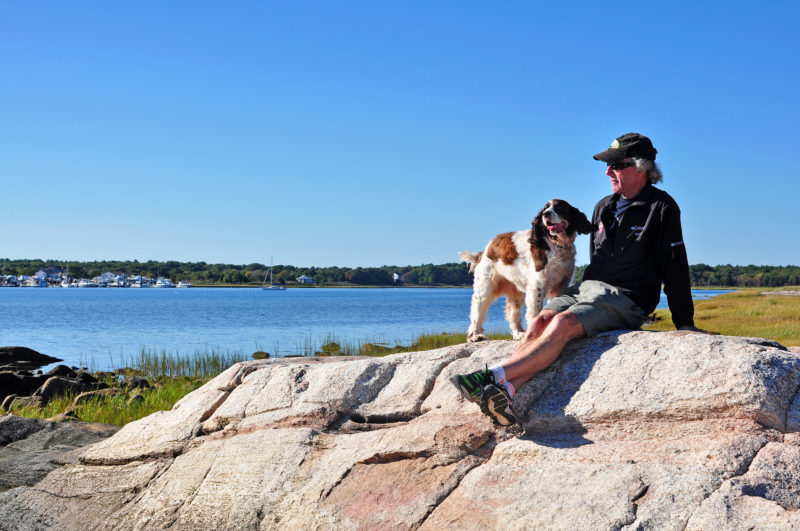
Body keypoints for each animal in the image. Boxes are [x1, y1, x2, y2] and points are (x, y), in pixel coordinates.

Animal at [456, 197, 592, 342]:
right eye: (545, 208)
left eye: (559, 207)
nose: (546, 214)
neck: (556, 245)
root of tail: (483, 252)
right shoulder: (537, 285)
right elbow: (535, 312)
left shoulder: (560, 285)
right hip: (485, 286)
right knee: (477, 309)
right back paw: (475, 335)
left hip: (515, 290)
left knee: (513, 311)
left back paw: (519, 333)